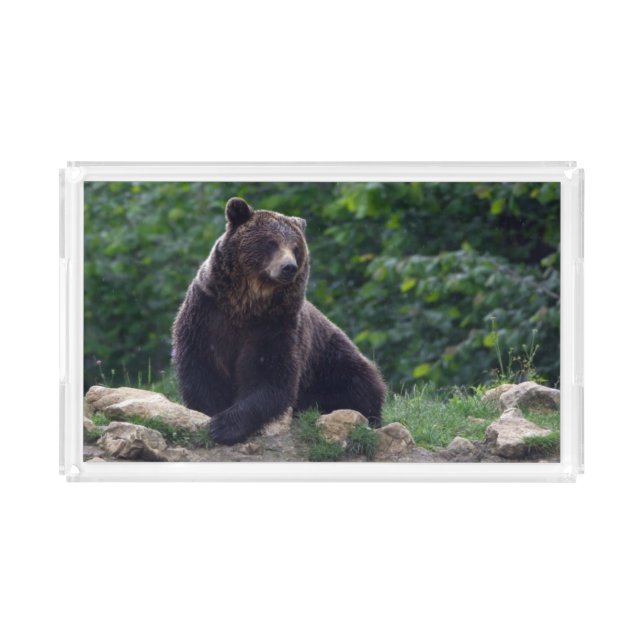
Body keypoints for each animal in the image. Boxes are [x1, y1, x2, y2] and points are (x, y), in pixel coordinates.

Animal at [172, 197, 387, 445]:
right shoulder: (207, 314)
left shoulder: (275, 325)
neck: (245, 305)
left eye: (296, 247)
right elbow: (202, 369)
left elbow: (271, 377)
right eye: (271, 242)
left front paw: (224, 426)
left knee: (360, 385)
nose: (289, 267)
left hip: (331, 361)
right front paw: (211, 414)